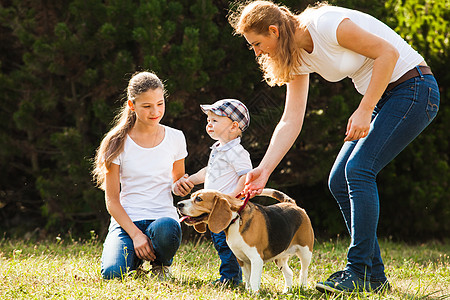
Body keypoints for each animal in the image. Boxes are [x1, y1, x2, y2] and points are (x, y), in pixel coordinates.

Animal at [176, 189, 312, 292]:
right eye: (191, 196)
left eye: (199, 199)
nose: (178, 204)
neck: (236, 218)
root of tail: (293, 204)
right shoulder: (241, 259)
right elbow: (248, 277)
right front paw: (248, 291)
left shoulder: (256, 259)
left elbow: (254, 278)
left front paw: (254, 293)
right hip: (280, 257)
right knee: (289, 273)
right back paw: (287, 291)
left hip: (306, 252)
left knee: (303, 272)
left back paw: (303, 288)